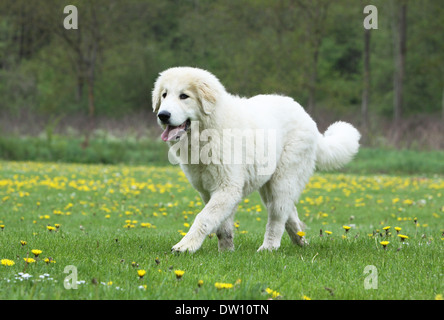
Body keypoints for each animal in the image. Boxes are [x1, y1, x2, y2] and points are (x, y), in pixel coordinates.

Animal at [153, 67, 360, 252]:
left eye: (184, 96)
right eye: (164, 95)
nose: (162, 115)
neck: (210, 129)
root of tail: (307, 117)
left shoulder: (227, 187)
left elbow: (204, 217)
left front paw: (186, 246)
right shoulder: (209, 190)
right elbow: (222, 226)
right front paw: (226, 252)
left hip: (282, 180)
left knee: (277, 217)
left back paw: (269, 247)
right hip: (269, 185)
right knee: (289, 212)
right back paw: (301, 242)